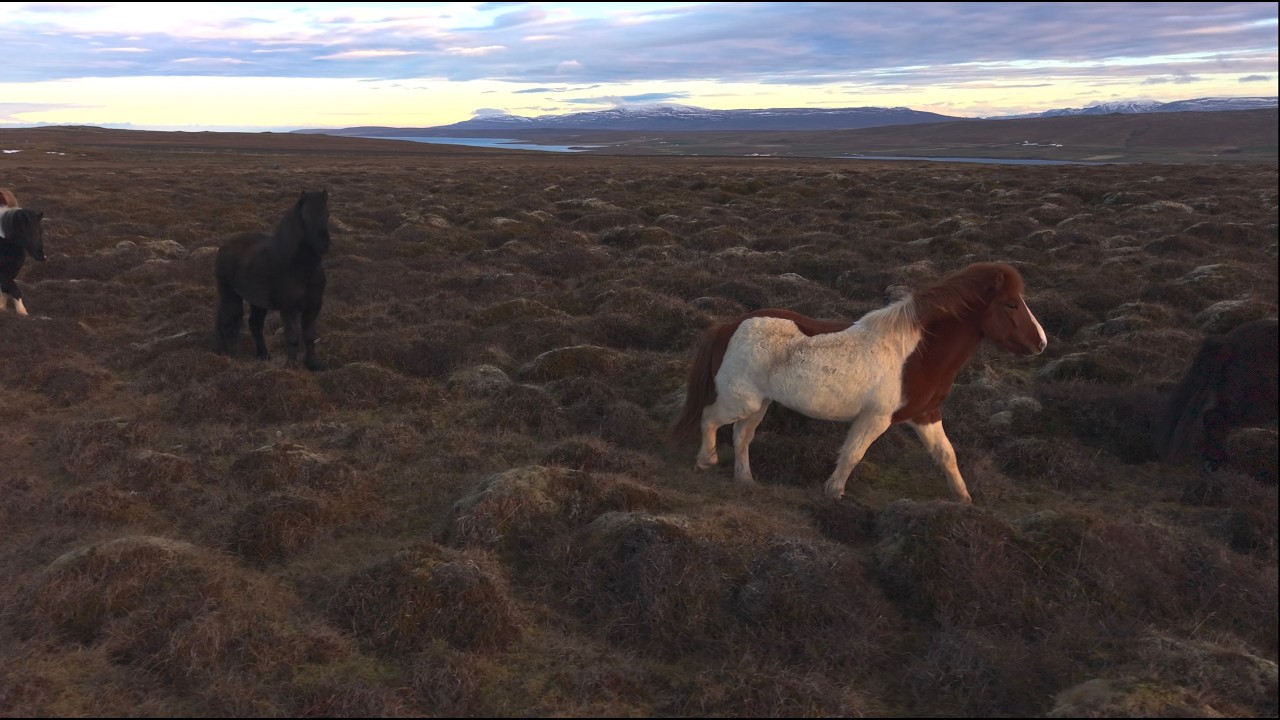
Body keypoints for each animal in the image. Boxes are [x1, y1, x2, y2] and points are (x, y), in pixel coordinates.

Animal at [0, 189, 47, 317]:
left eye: (40, 231)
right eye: (27, 232)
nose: (43, 256)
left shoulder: (12, 271)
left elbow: (6, 290)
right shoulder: (3, 273)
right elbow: (14, 290)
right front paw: (23, 313)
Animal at [214, 190, 331, 371]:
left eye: (327, 214)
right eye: (304, 217)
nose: (324, 244)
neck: (299, 268)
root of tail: (225, 246)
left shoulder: (313, 307)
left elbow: (309, 337)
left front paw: (313, 365)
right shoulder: (288, 309)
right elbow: (292, 337)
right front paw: (291, 366)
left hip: (257, 303)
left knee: (254, 325)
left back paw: (264, 355)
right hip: (230, 295)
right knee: (227, 322)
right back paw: (228, 356)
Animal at [671, 262, 1047, 504]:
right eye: (1011, 304)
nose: (1041, 343)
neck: (916, 354)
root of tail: (728, 326)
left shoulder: (925, 415)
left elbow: (946, 455)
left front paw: (964, 498)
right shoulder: (876, 418)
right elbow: (853, 454)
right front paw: (834, 492)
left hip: (759, 404)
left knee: (741, 436)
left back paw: (745, 481)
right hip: (742, 400)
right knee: (710, 419)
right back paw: (706, 461)